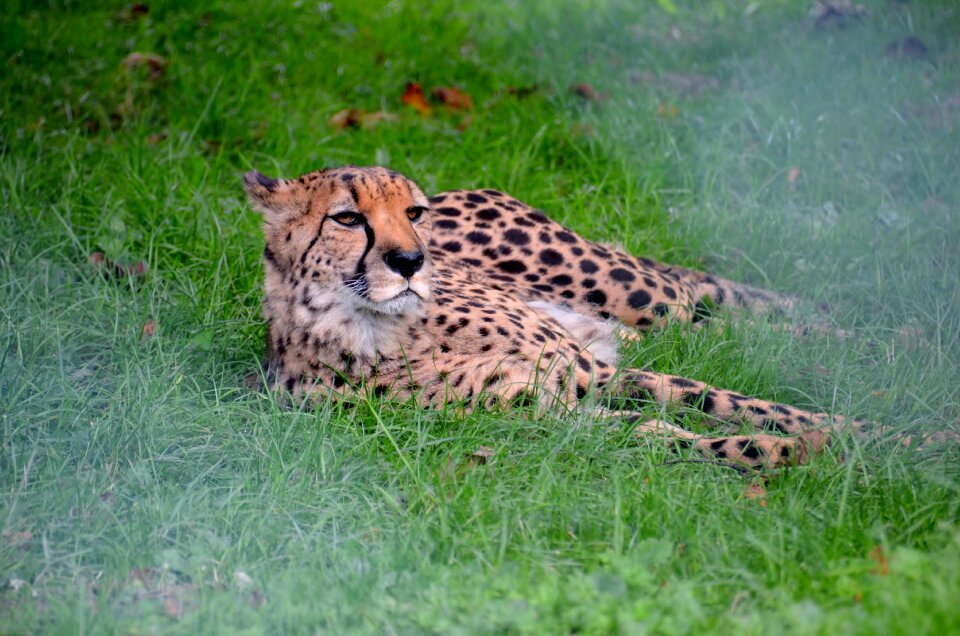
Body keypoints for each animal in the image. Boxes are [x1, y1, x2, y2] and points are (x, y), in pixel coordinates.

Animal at [244, 166, 868, 470]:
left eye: (412, 213)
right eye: (348, 218)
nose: (410, 261)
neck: (386, 330)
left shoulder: (593, 372)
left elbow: (736, 402)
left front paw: (868, 434)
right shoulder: (555, 416)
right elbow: (671, 436)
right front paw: (800, 452)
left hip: (639, 295)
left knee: (712, 299)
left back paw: (874, 335)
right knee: (722, 325)